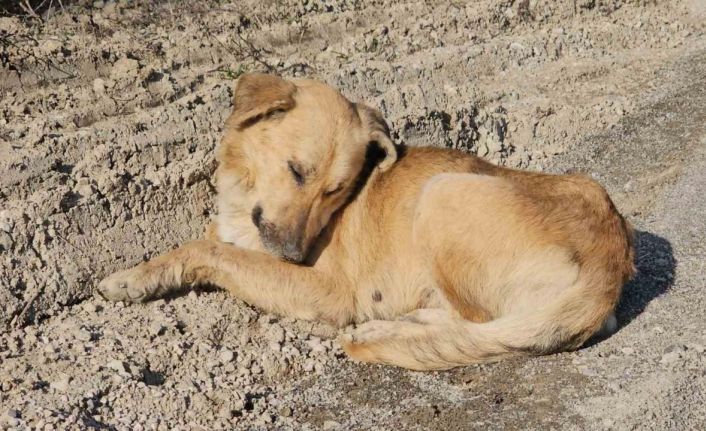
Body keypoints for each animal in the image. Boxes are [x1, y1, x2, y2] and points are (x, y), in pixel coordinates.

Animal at [97, 73, 632, 372]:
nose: (294, 256)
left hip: (442, 192)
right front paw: (143, 272)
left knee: (480, 324)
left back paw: (382, 332)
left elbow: (207, 250)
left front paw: (131, 279)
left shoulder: (327, 290)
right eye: (297, 171)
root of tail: (612, 257)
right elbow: (207, 243)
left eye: (336, 190)